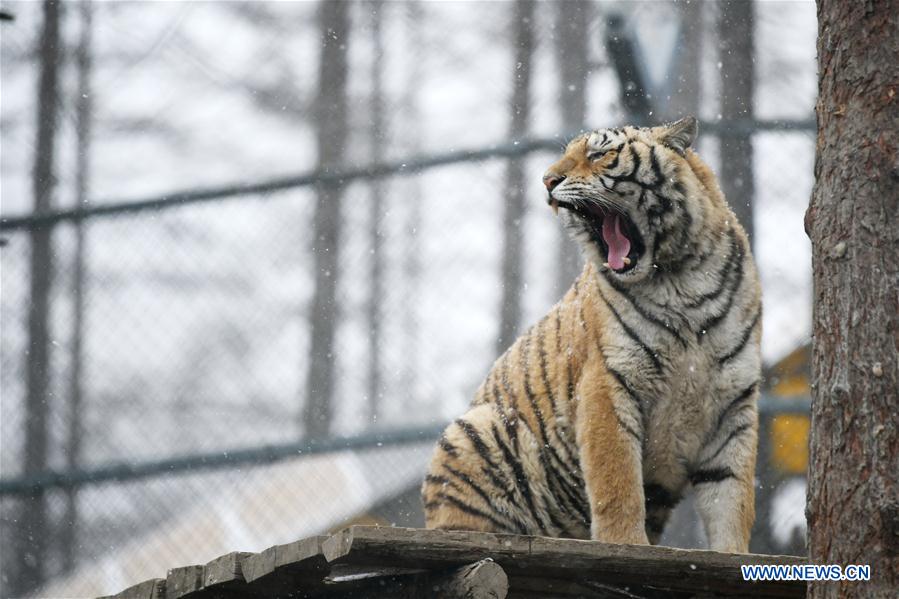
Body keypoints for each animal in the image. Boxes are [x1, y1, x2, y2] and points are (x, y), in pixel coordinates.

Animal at [422, 117, 760, 552]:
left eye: (599, 154)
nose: (547, 180)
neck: (681, 280)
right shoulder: (608, 382)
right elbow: (618, 484)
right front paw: (626, 546)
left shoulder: (733, 403)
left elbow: (732, 497)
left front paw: (733, 554)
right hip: (474, 430)